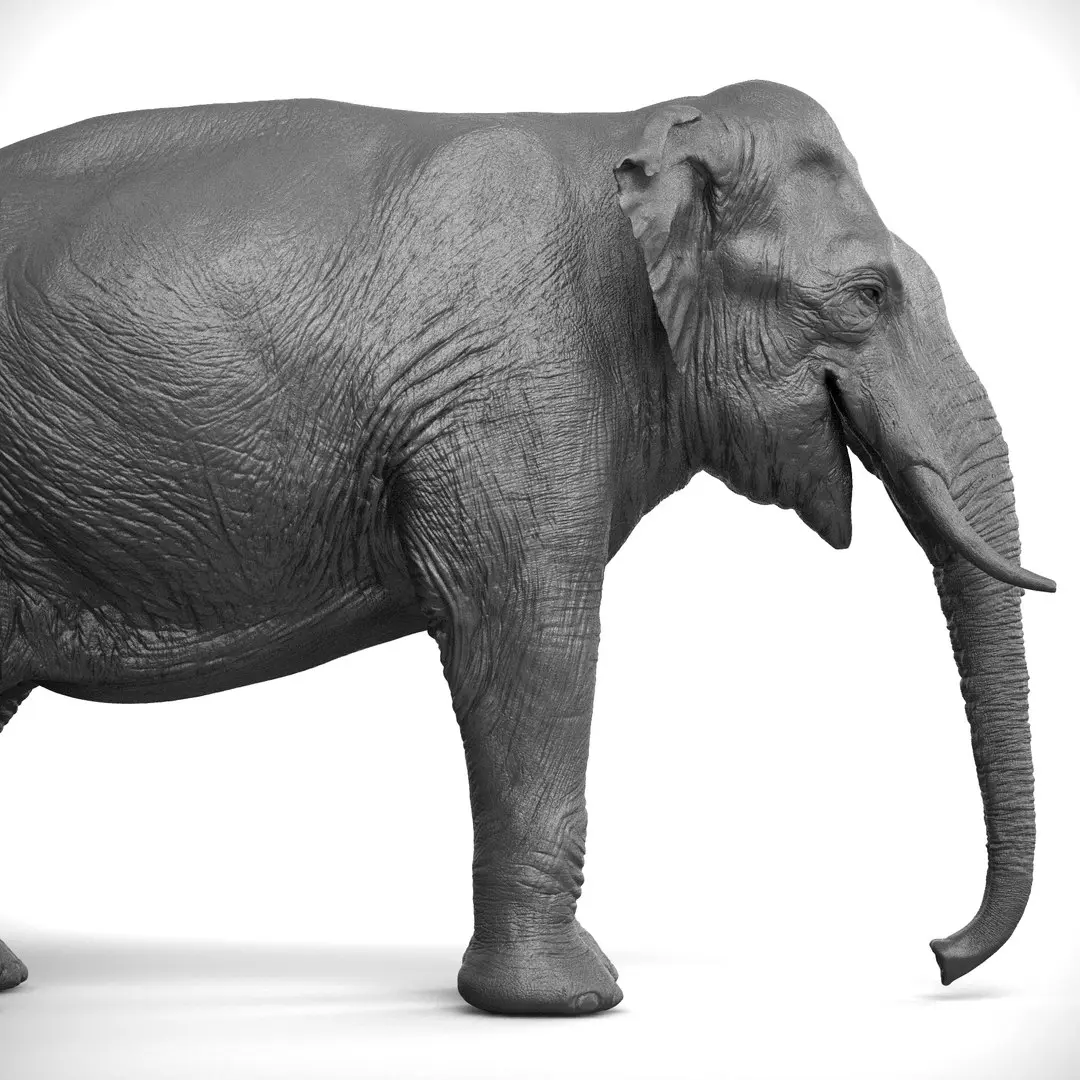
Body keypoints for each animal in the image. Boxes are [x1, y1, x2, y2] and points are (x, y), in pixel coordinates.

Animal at [0, 80, 1055, 1016]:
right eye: (869, 295)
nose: (939, 955)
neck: (638, 131)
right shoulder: (512, 380)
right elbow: (527, 636)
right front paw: (569, 1004)